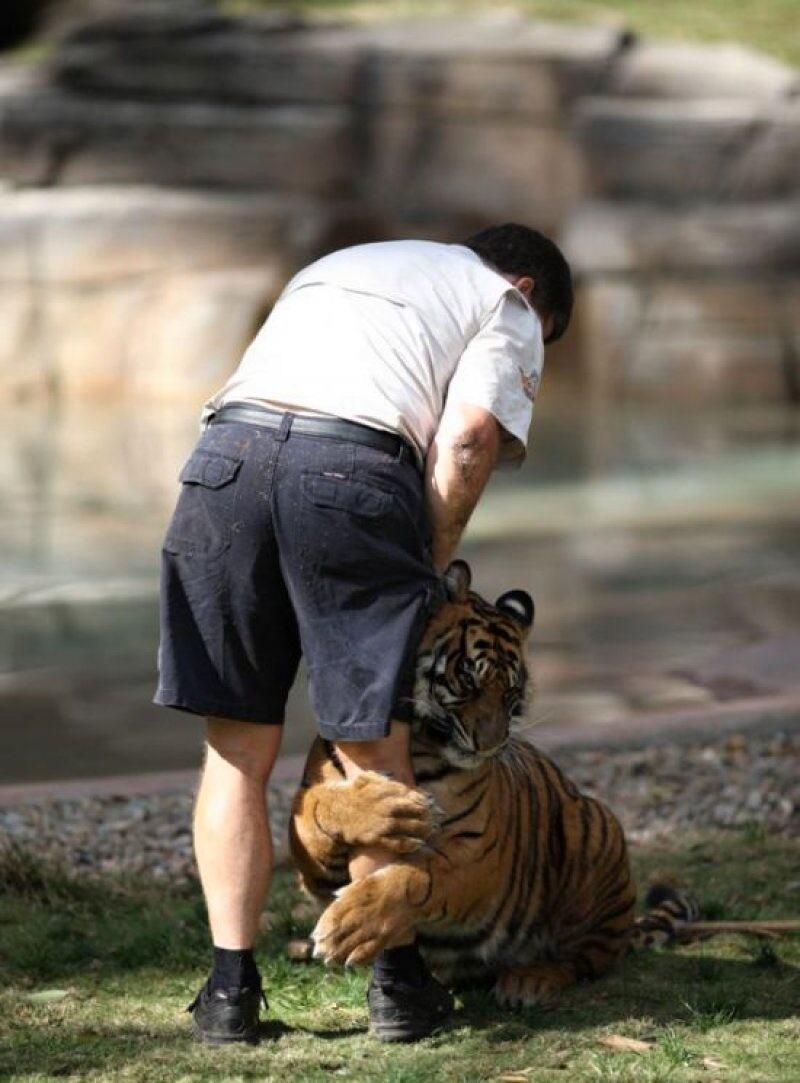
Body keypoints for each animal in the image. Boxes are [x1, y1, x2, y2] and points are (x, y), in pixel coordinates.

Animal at [287, 558, 692, 1005]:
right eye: (467, 679)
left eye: (511, 692)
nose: (492, 745)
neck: (419, 747)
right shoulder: (318, 870)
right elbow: (310, 813)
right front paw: (388, 810)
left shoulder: (478, 855)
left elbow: (417, 878)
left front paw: (349, 926)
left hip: (596, 826)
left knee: (586, 959)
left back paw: (530, 980)